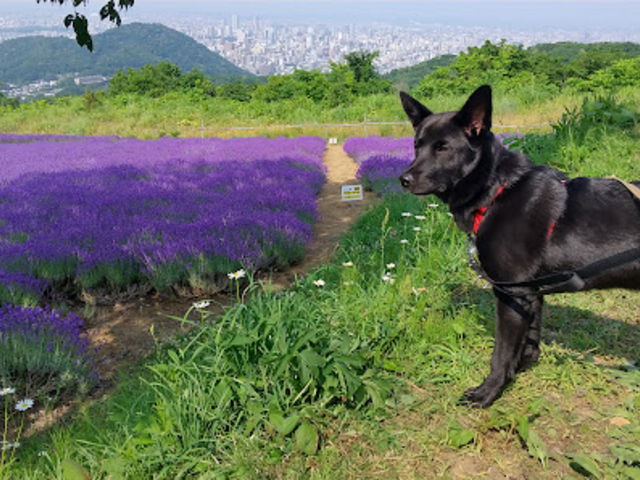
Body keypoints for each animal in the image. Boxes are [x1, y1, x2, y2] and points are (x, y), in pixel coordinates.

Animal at [398, 84, 640, 406]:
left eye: (443, 148)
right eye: (416, 146)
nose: (403, 179)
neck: (496, 190)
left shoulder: (511, 292)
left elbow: (500, 354)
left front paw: (488, 392)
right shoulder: (530, 293)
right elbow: (530, 342)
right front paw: (520, 369)